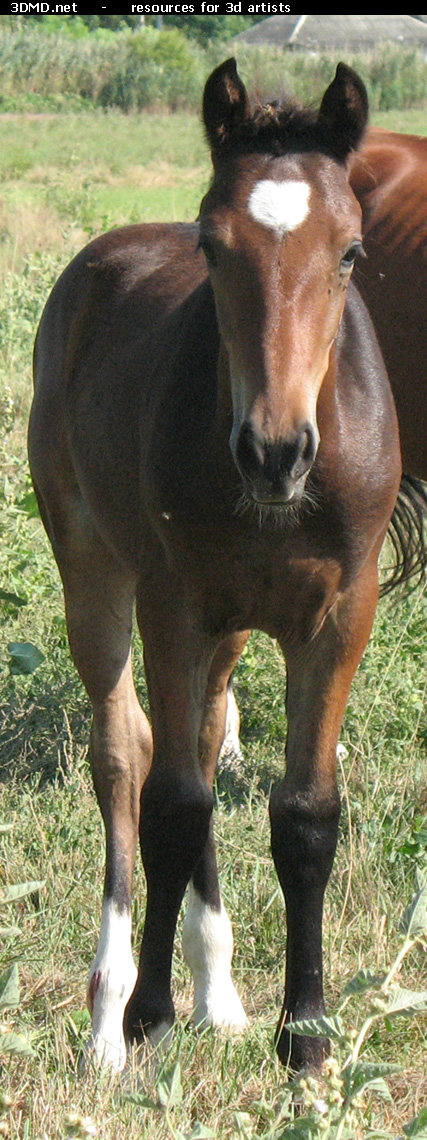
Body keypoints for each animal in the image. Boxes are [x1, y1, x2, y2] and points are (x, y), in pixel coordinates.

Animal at [27, 62, 421, 1076]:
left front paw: (305, 1038)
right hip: (95, 569)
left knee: (201, 734)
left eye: (352, 252)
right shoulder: (172, 601)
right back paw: (110, 1010)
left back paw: (220, 991)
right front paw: (151, 1017)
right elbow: (172, 800)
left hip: (235, 624)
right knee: (125, 755)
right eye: (211, 246)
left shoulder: (339, 614)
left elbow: (305, 813)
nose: (274, 451)